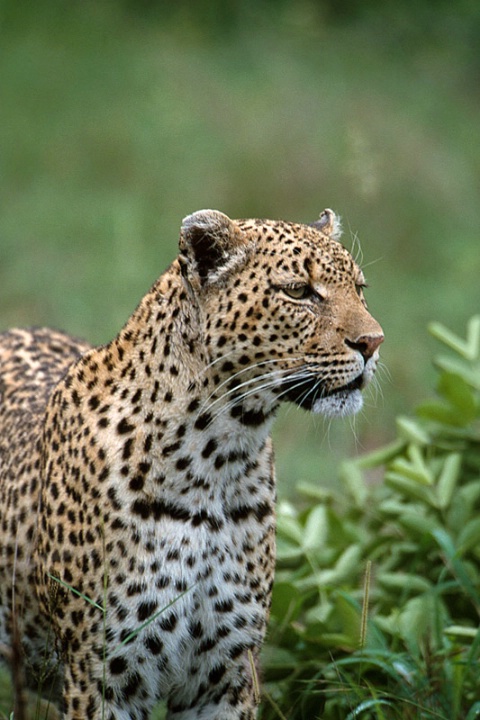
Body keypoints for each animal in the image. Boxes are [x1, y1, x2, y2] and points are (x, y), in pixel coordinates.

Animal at [0, 205, 382, 716]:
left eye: (359, 289)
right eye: (299, 292)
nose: (374, 342)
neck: (217, 457)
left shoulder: (226, 672)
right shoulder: (101, 675)